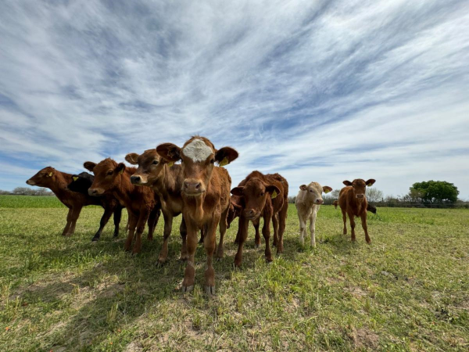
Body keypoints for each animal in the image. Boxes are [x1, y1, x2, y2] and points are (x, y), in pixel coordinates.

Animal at [156, 136, 238, 292]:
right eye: (182, 159)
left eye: (212, 160)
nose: (192, 185)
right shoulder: (188, 214)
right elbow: (191, 243)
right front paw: (188, 280)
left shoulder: (215, 214)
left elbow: (209, 243)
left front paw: (209, 280)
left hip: (225, 210)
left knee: (222, 230)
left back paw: (219, 253)